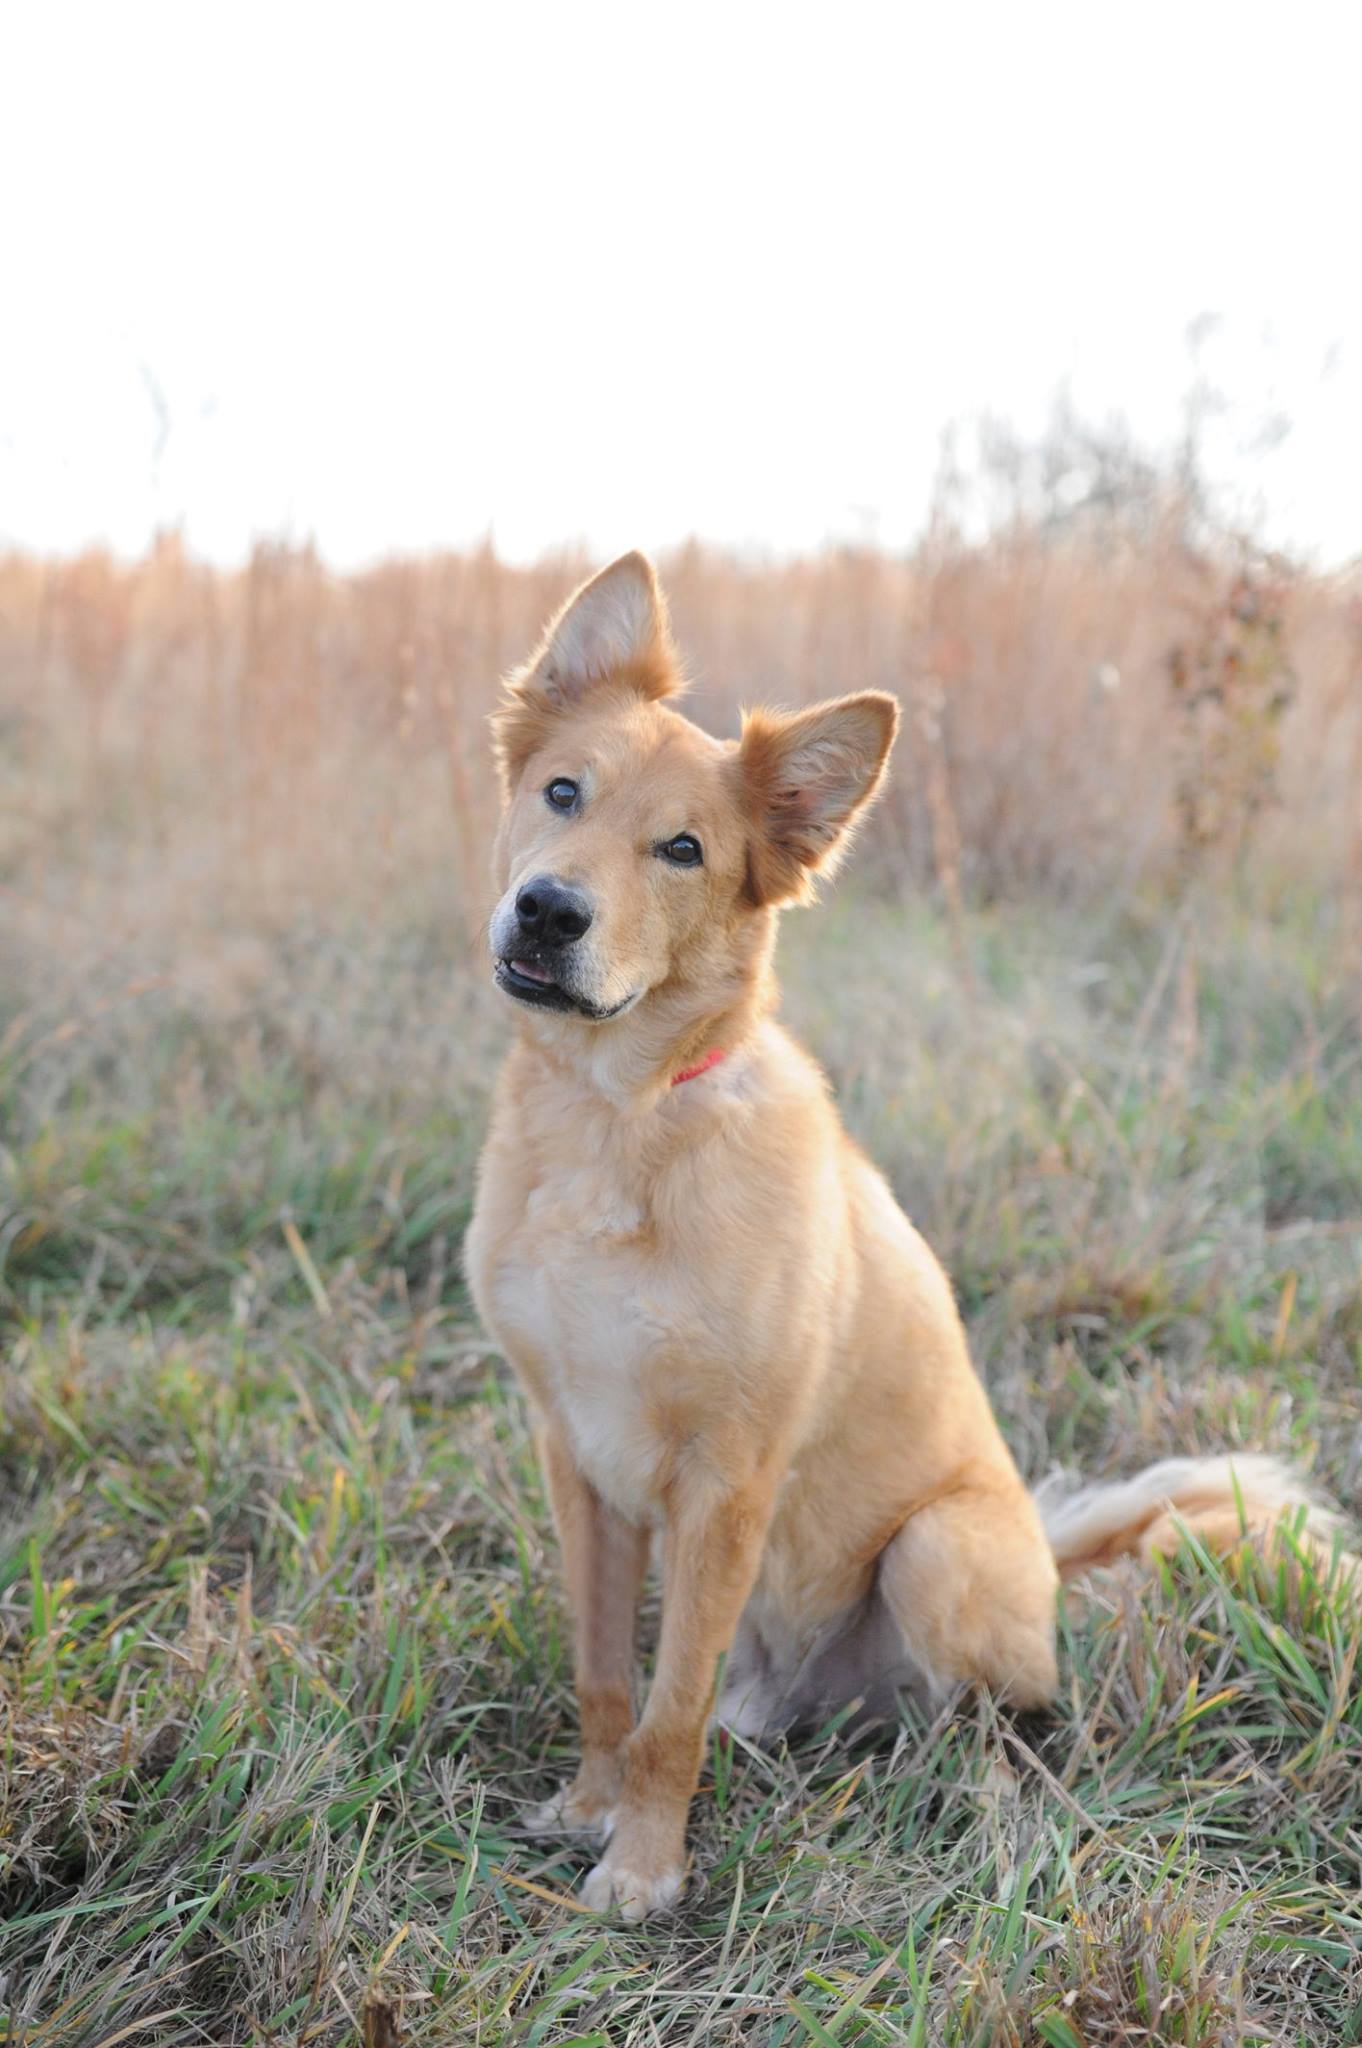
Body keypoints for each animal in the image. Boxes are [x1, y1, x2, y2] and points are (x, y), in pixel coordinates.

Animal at [462, 548, 1343, 1916]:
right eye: (564, 790)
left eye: (682, 849)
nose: (549, 912)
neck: (620, 1120)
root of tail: (1047, 1551)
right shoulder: (577, 1454)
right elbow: (613, 1677)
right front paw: (588, 1810)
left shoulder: (728, 1477)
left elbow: (669, 1708)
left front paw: (643, 1866)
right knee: (754, 1694)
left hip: (936, 1549)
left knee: (990, 1717)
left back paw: (972, 1794)